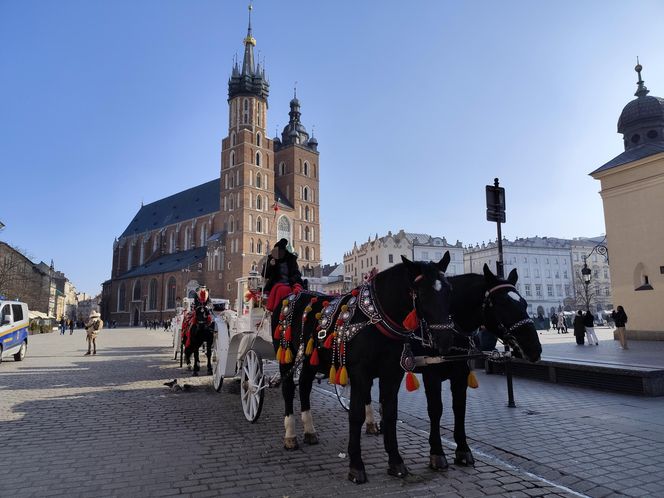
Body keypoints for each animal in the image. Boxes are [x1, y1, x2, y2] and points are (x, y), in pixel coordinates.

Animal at [270, 255, 452, 484]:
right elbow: (356, 415)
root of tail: (292, 292)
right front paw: (356, 466)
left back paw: (310, 431)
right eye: (422, 293)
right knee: (288, 389)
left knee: (303, 386)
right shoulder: (359, 374)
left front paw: (396, 462)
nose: (445, 341)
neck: (376, 319)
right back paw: (290, 436)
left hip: (311, 359)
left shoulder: (393, 375)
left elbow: (390, 414)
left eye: (448, 290)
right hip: (286, 353)